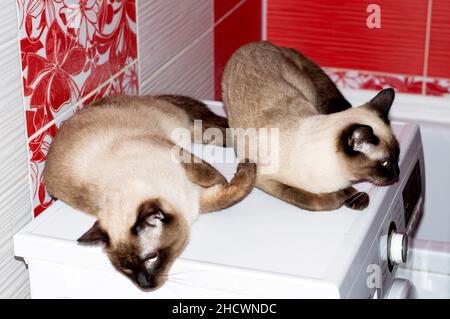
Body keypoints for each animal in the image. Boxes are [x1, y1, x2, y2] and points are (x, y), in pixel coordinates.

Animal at [45, 94, 258, 290]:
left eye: (151, 258)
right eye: (126, 269)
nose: (144, 286)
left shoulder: (175, 153)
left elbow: (211, 176)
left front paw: (237, 171)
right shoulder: (195, 201)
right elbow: (226, 196)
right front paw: (237, 175)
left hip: (176, 129)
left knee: (206, 128)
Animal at [221, 42, 398, 212]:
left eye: (397, 157)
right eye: (385, 163)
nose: (397, 174)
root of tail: (259, 42)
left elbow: (347, 189)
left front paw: (355, 198)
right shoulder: (265, 179)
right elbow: (308, 198)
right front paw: (337, 197)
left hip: (306, 89)